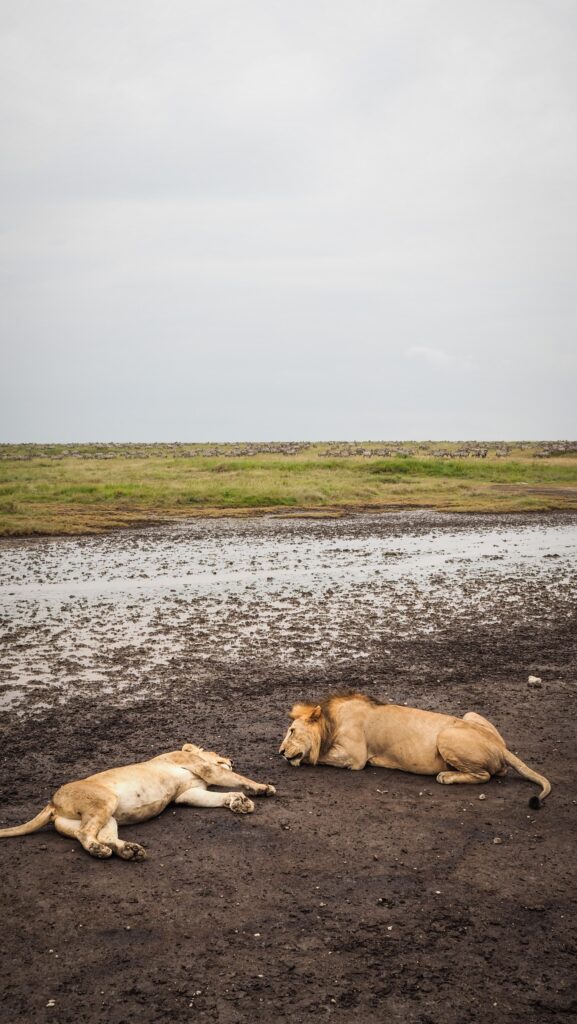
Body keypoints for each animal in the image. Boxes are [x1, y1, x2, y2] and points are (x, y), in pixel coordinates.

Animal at [0, 741, 274, 860]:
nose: (231, 758)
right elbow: (235, 777)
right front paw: (262, 788)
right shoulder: (204, 769)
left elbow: (217, 796)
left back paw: (129, 851)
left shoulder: (187, 794)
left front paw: (237, 801)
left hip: (105, 817)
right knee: (86, 834)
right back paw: (100, 851)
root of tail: (52, 803)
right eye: (216, 751)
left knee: (102, 836)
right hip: (104, 800)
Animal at [282, 696, 553, 806]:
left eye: (292, 731)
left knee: (484, 775)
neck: (330, 722)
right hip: (471, 715)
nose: (281, 751)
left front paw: (298, 759)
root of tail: (499, 746)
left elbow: (319, 757)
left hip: (447, 735)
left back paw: (447, 776)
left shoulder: (355, 757)